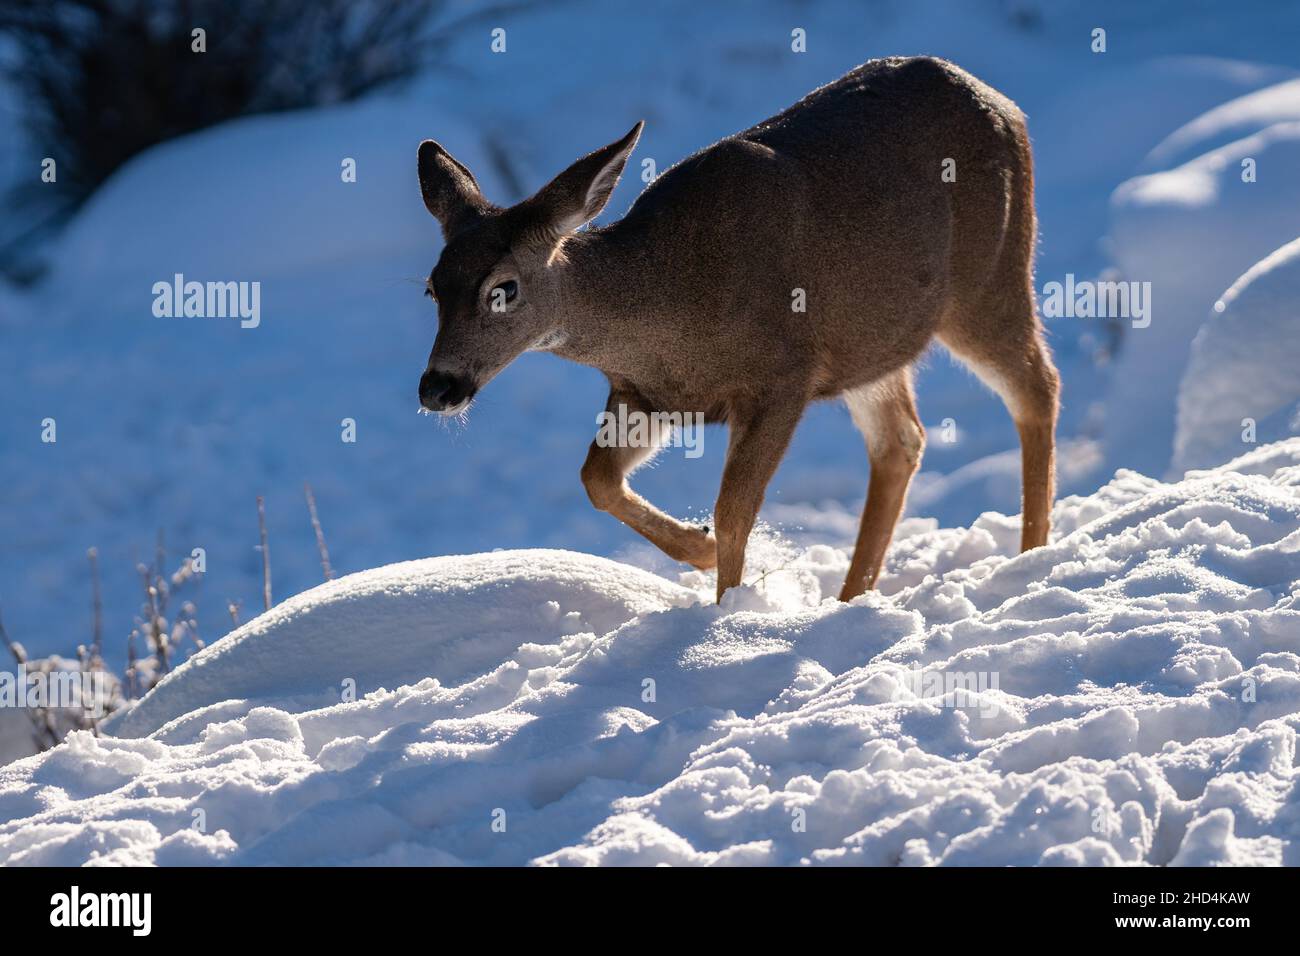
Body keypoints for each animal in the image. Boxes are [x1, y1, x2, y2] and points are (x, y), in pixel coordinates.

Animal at [413, 52, 1055, 600]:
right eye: (432, 287)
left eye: (503, 289)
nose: (437, 387)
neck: (671, 305)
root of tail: (1008, 106)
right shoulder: (647, 393)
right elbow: (596, 478)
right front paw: (700, 551)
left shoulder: (784, 376)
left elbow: (734, 508)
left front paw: (734, 607)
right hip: (876, 341)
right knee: (901, 439)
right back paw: (852, 597)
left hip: (988, 277)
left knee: (1036, 387)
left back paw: (1032, 557)